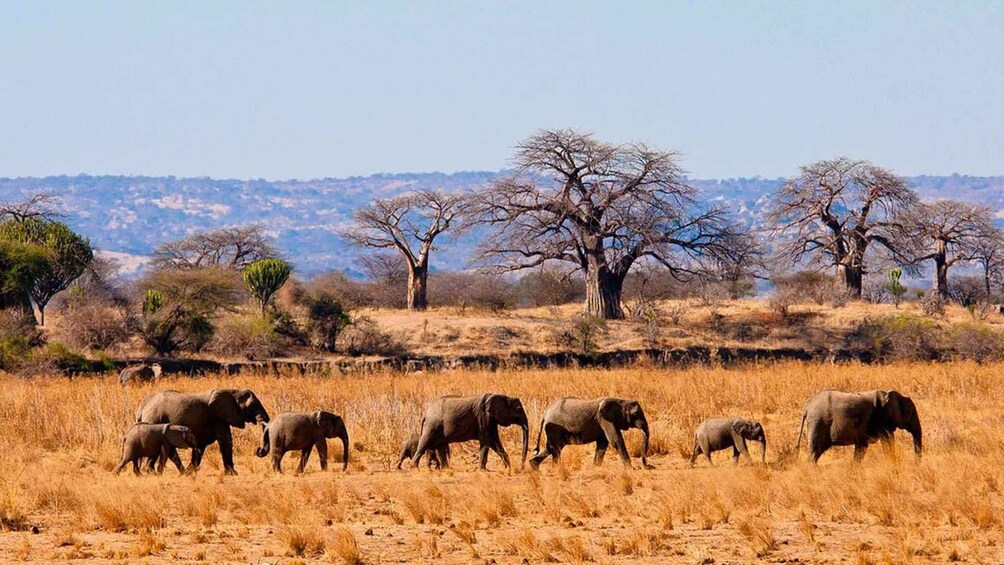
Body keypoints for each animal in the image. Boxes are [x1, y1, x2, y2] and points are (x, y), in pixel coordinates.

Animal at [138, 387, 271, 475]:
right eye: (252, 407)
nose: (258, 450)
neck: (233, 391)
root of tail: (141, 408)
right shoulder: (218, 417)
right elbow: (226, 441)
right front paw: (233, 474)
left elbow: (201, 446)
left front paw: (191, 472)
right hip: (154, 420)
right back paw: (152, 472)